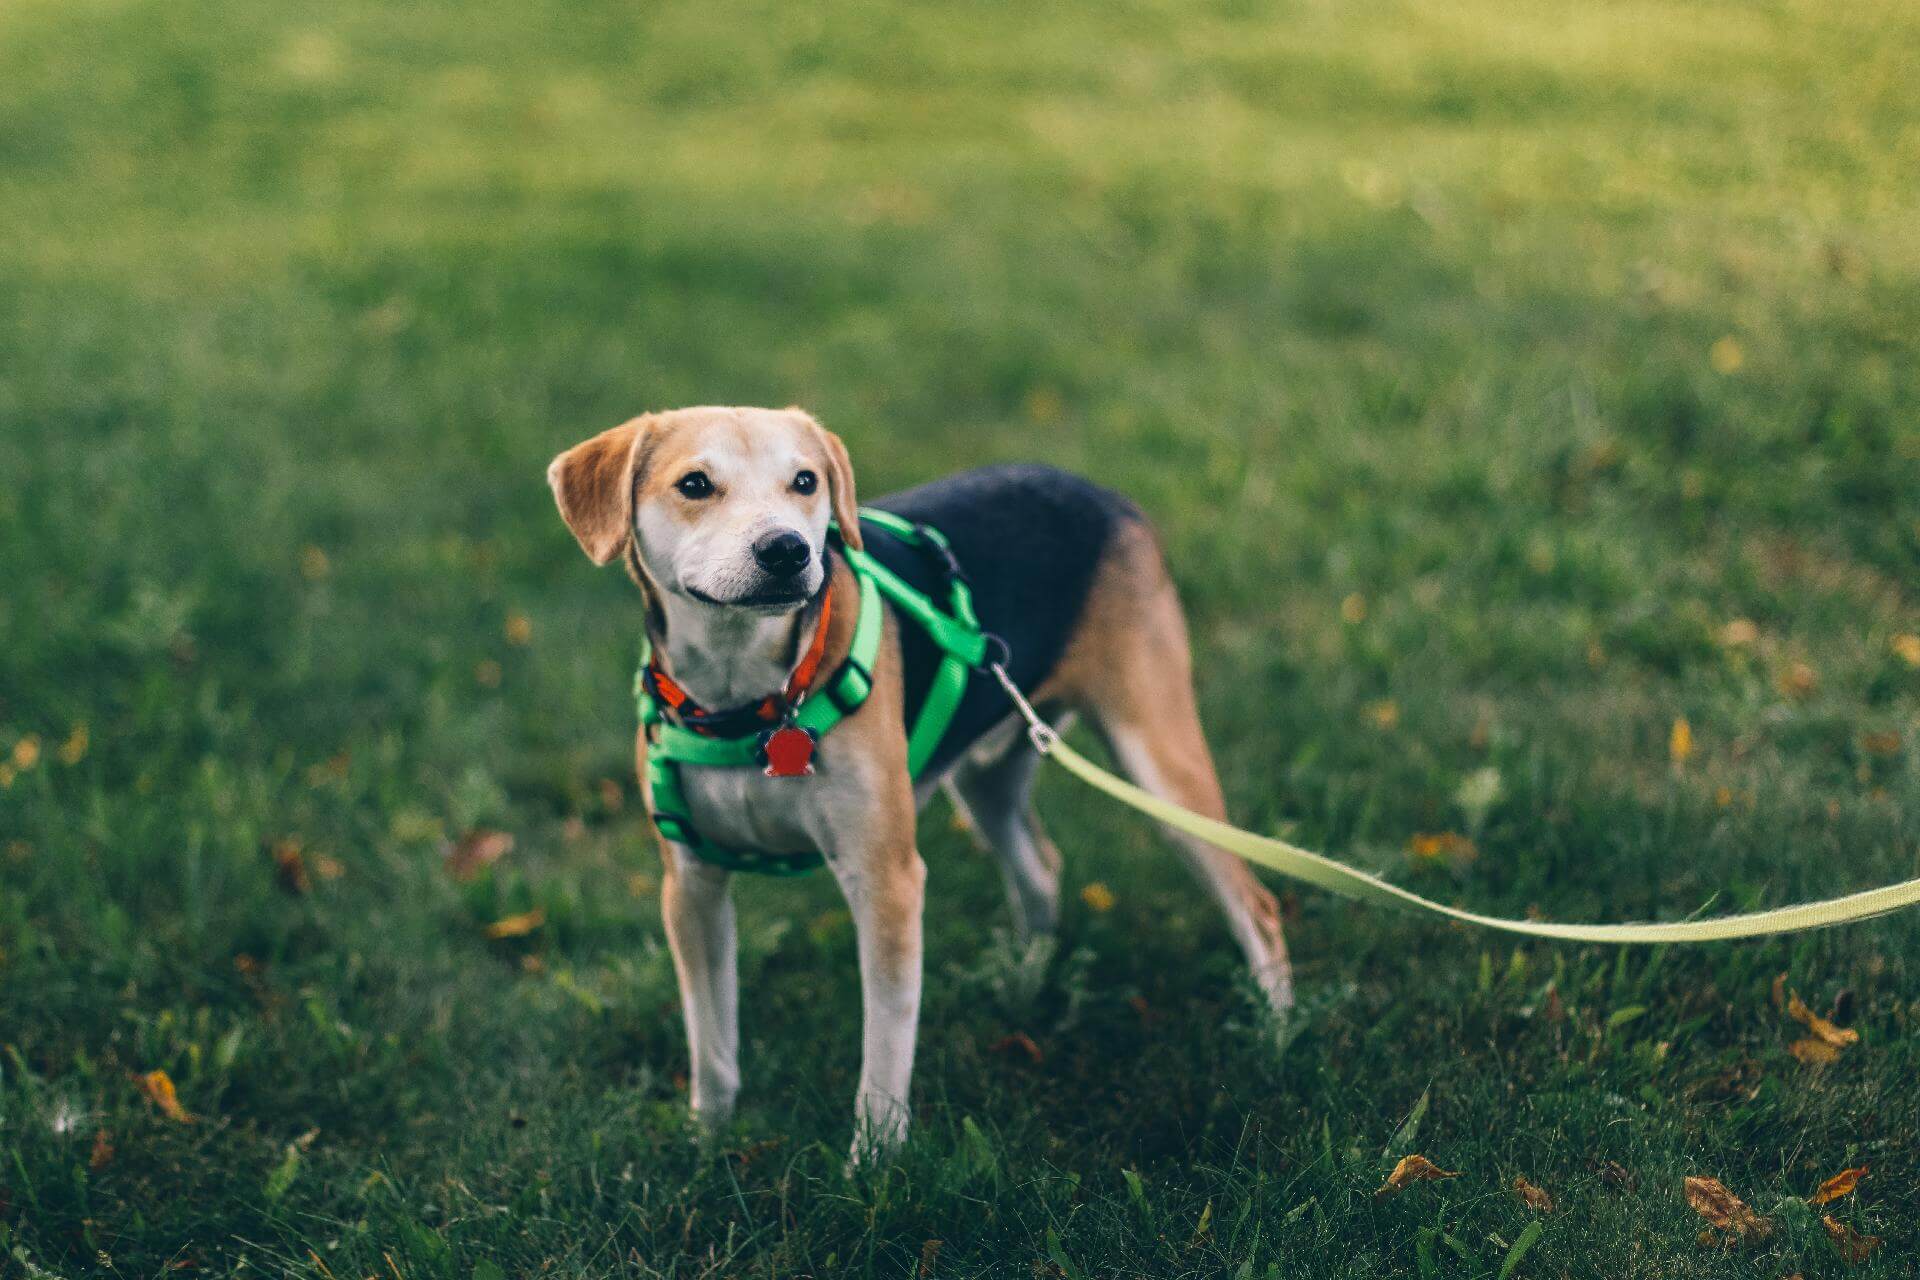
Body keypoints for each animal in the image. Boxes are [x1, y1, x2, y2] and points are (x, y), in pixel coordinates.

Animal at [545, 404, 1290, 1159]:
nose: (788, 550)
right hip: (988, 778)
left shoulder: (886, 881)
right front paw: (707, 1142)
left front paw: (873, 1162)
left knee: (1256, 905)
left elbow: (885, 1046)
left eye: (805, 481)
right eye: (694, 484)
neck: (750, 701)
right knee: (1041, 867)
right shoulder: (691, 886)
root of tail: (1100, 493)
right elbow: (712, 1041)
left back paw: (1275, 1036)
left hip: (1158, 758)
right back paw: (1026, 981)